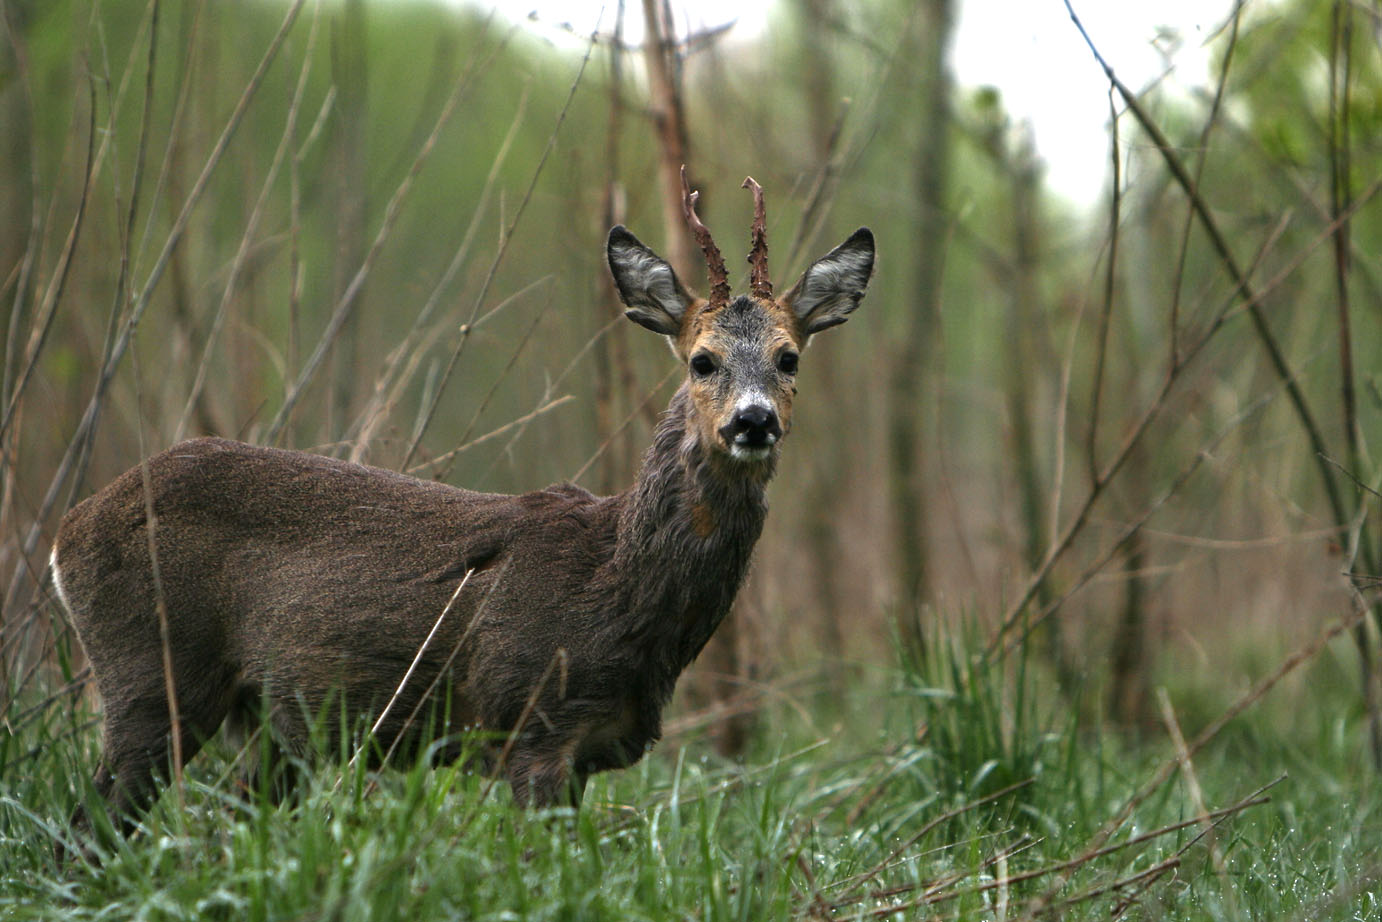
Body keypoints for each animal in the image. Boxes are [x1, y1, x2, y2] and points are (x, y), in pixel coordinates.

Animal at [53, 167, 878, 834]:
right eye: (702, 360)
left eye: (788, 357)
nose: (753, 421)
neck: (617, 580)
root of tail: (69, 535)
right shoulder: (529, 721)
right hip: (148, 672)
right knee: (88, 825)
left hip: (265, 724)